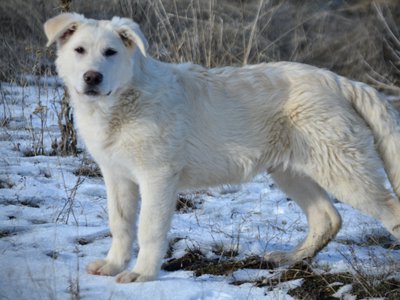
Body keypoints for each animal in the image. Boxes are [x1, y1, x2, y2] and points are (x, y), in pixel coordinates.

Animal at [43, 12, 400, 282]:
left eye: (111, 52)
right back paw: (288, 258)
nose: (92, 78)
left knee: (387, 211)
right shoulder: (116, 176)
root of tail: (341, 81)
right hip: (292, 170)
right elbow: (120, 225)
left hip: (342, 169)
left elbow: (148, 229)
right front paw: (112, 266)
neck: (123, 101)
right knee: (327, 218)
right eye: (79, 50)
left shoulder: (158, 176)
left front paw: (141, 275)